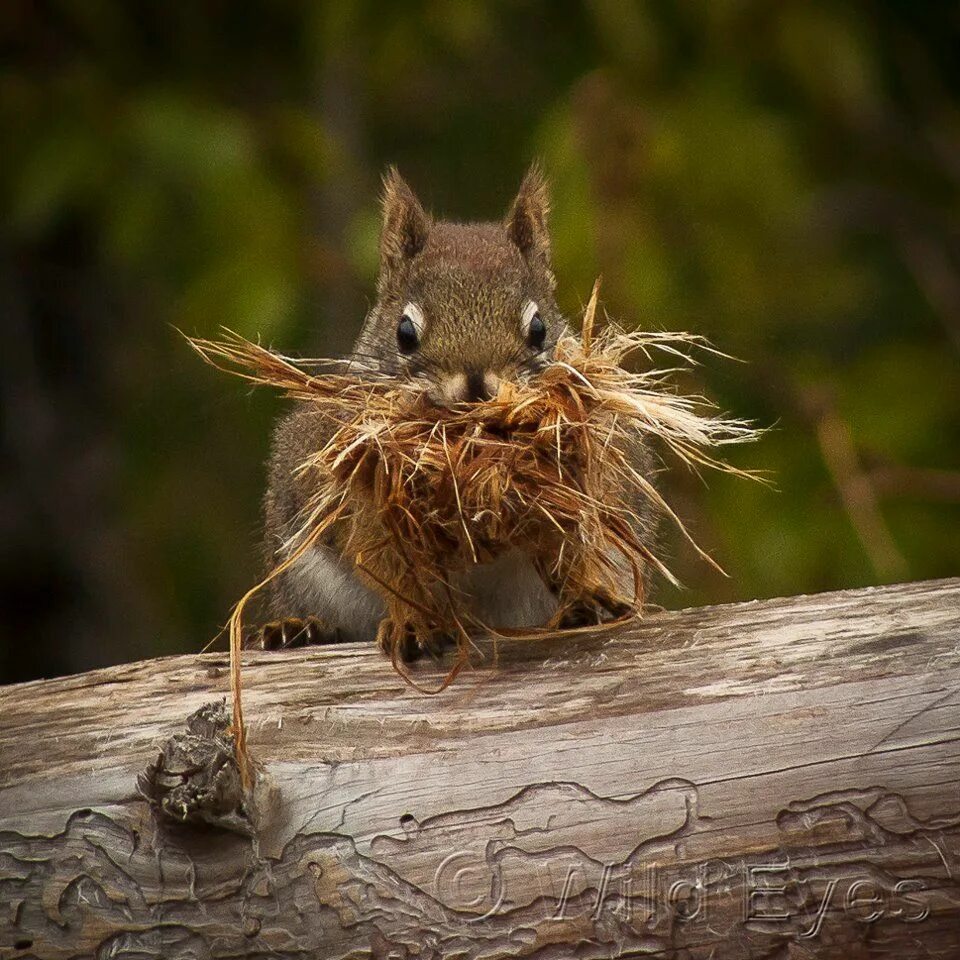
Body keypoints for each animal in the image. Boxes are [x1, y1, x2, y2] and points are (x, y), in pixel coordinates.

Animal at [251, 165, 656, 660]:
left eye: (539, 329)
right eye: (405, 332)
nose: (477, 386)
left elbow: (577, 544)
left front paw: (587, 593)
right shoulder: (359, 497)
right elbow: (386, 565)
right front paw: (416, 621)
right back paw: (301, 628)